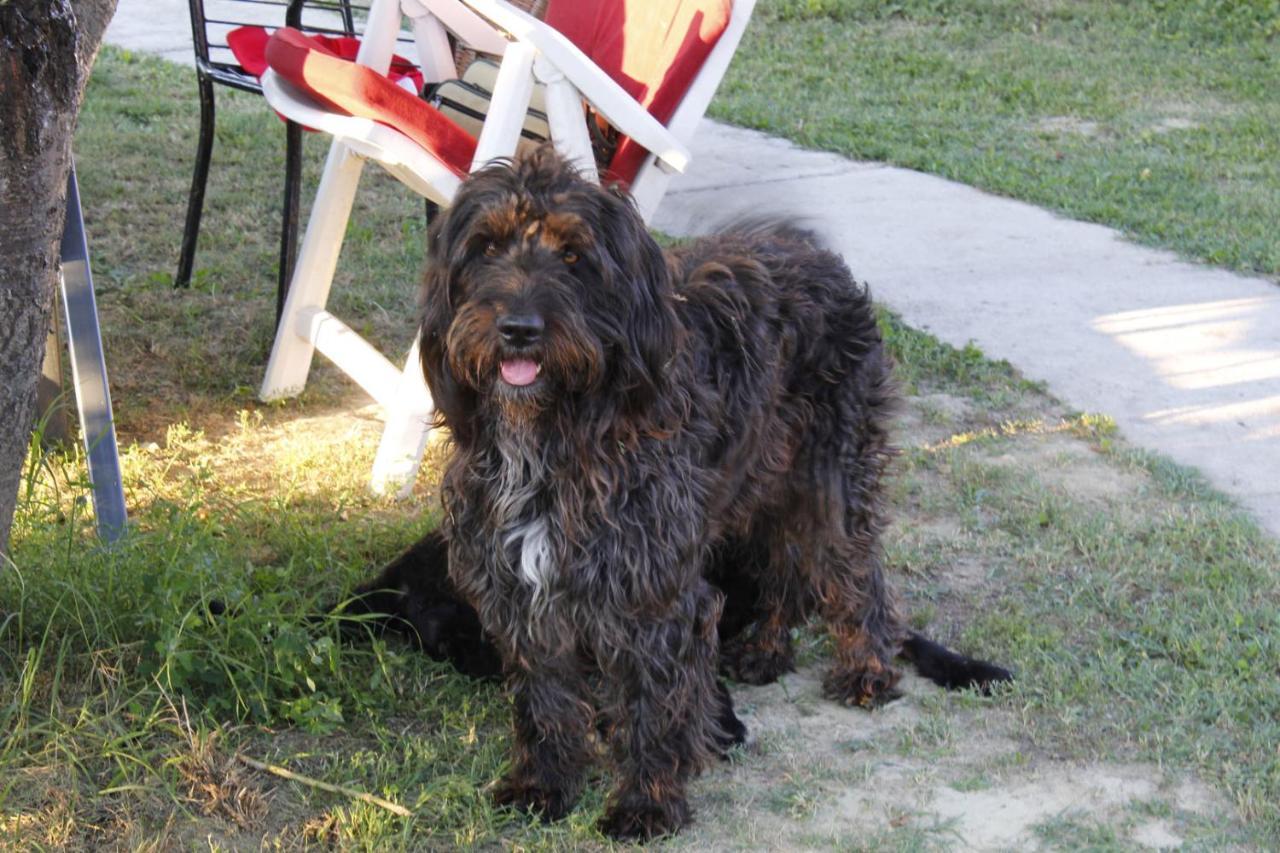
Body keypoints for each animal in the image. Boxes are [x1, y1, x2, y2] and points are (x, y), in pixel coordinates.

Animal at [350, 147, 1008, 835]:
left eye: (574, 255)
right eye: (485, 247)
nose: (518, 329)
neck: (562, 432)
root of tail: (816, 255)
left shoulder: (651, 590)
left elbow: (652, 706)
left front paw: (647, 803)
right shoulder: (522, 588)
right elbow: (544, 699)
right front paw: (544, 785)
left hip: (831, 477)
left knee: (856, 574)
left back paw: (867, 671)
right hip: (759, 485)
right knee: (785, 568)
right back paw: (767, 651)